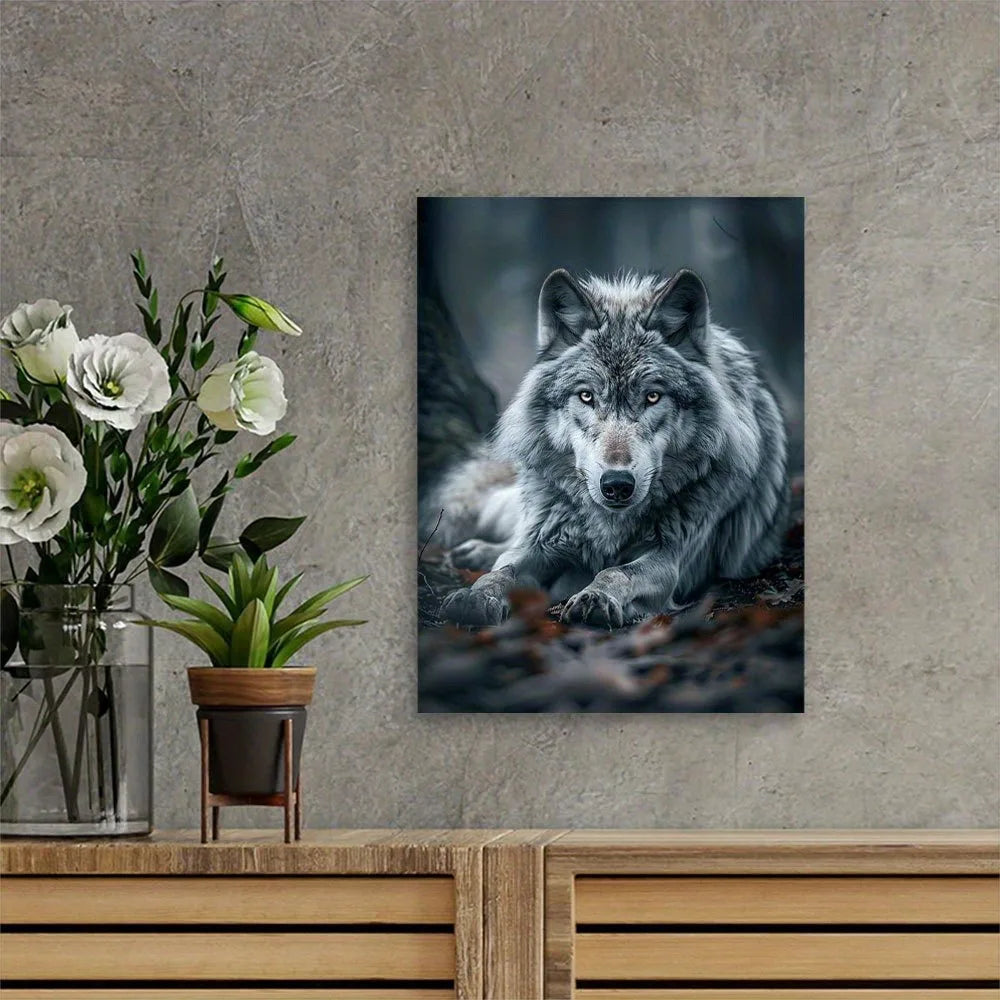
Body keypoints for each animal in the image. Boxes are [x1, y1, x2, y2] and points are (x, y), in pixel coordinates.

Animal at [427, 267, 788, 628]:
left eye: (652, 396)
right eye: (586, 396)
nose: (617, 484)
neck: (609, 528)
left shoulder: (669, 559)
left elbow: (616, 573)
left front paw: (595, 598)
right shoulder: (545, 542)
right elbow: (504, 570)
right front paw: (476, 596)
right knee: (509, 539)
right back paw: (476, 551)